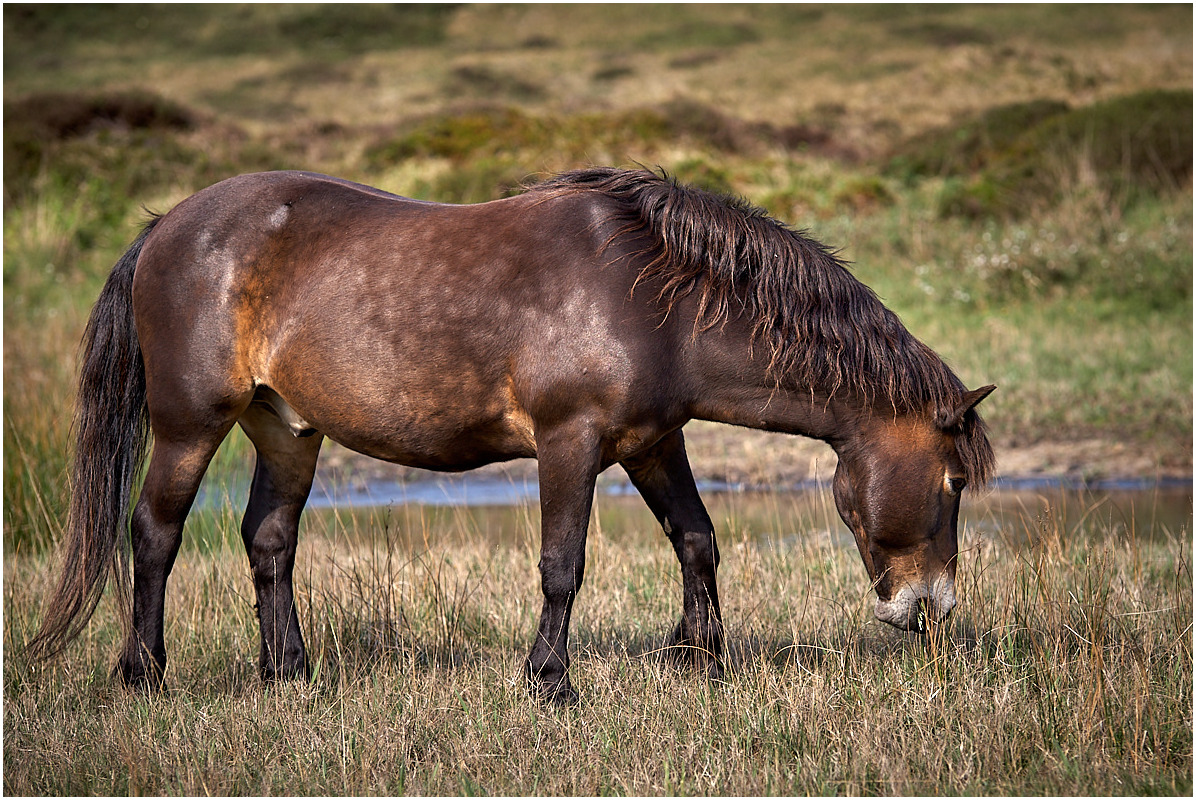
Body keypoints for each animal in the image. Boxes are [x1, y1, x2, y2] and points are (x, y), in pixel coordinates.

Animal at [28, 165, 995, 703]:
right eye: (952, 482)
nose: (931, 609)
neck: (655, 298)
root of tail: (167, 226)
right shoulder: (571, 444)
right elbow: (563, 566)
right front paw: (551, 681)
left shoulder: (653, 444)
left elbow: (697, 540)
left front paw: (700, 660)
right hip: (190, 425)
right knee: (153, 536)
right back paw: (143, 674)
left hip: (286, 430)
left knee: (269, 541)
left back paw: (288, 673)